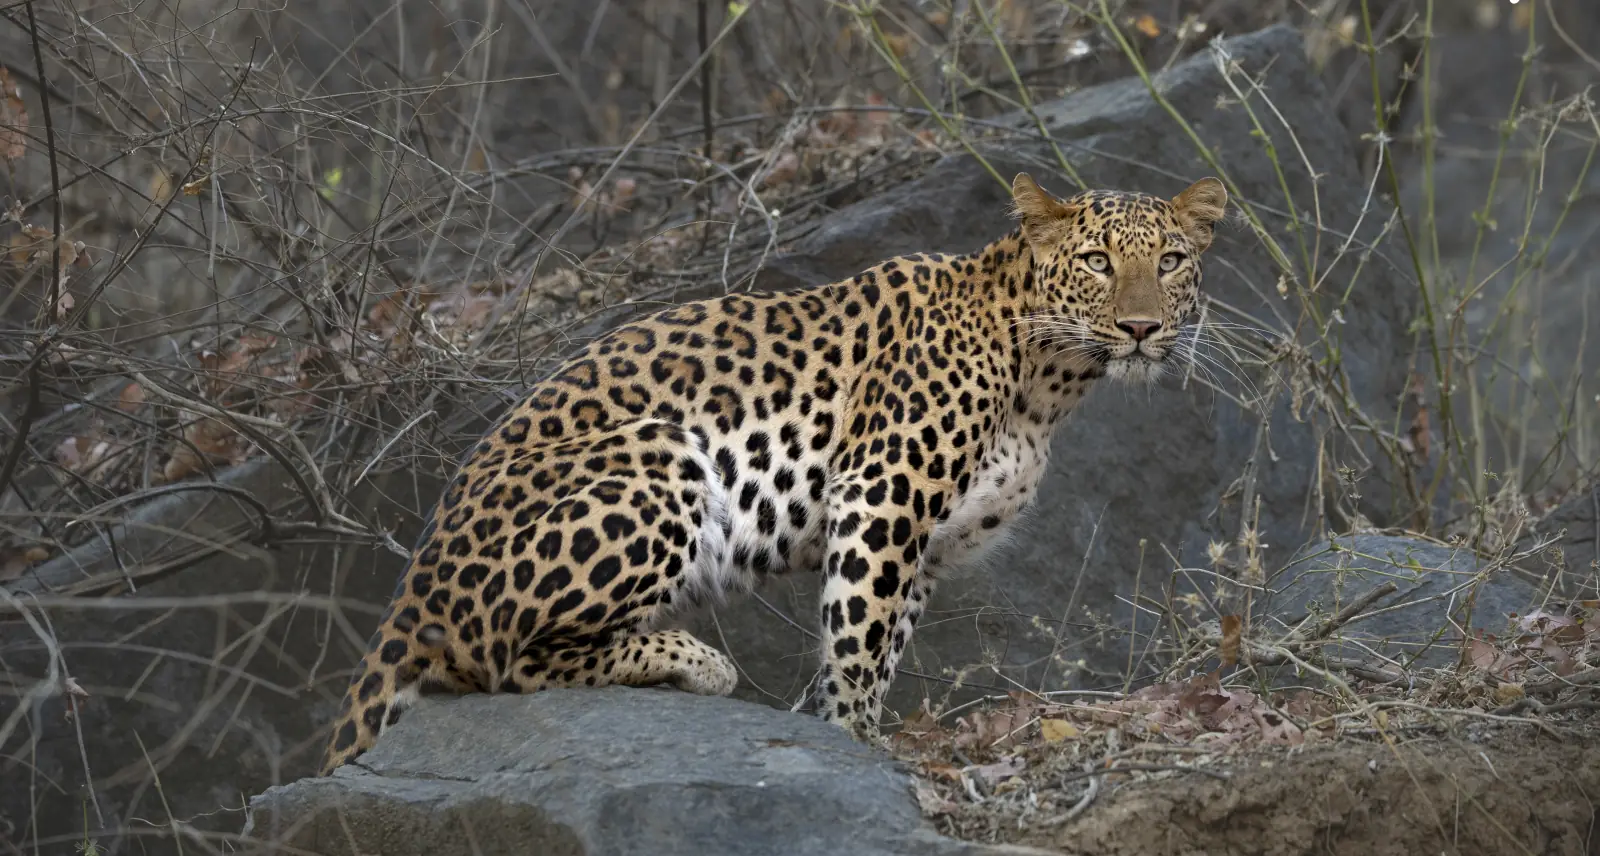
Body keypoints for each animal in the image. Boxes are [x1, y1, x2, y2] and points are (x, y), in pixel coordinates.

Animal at [318, 171, 1228, 775]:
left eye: (1172, 260)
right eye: (1099, 262)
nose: (1142, 328)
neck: (1047, 381)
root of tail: (413, 584)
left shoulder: (927, 549)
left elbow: (874, 644)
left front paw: (836, 730)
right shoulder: (882, 492)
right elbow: (859, 639)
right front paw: (858, 748)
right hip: (660, 456)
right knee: (504, 662)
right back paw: (692, 661)